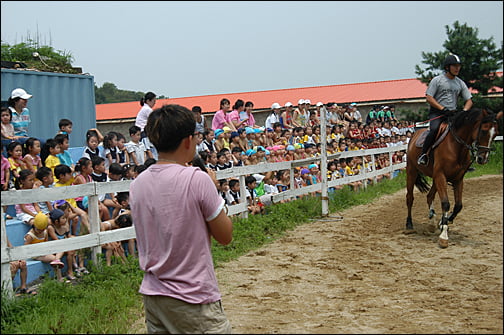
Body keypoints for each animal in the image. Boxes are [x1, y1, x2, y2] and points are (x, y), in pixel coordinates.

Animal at [408, 109, 502, 248]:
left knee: (429, 196)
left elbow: (458, 205)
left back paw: (432, 221)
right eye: (484, 130)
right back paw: (409, 224)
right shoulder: (441, 176)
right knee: (410, 198)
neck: (456, 146)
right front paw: (444, 236)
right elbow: (446, 204)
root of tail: (416, 133)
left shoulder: (458, 179)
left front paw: (443, 223)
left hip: (435, 178)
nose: (482, 158)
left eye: (495, 134)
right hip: (412, 171)